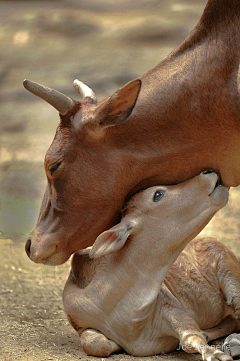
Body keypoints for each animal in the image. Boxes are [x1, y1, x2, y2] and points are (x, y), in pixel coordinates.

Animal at [62, 170, 240, 358]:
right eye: (157, 194)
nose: (208, 171)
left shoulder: (173, 308)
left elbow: (191, 338)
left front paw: (217, 354)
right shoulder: (81, 324)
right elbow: (96, 344)